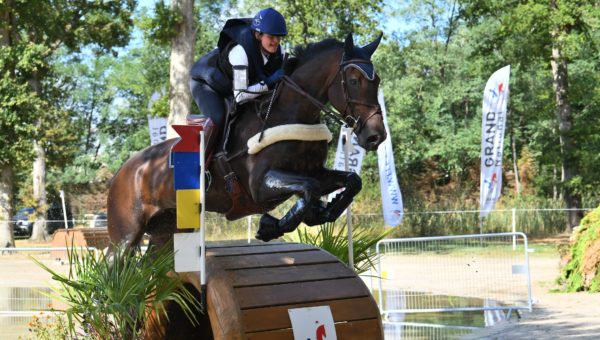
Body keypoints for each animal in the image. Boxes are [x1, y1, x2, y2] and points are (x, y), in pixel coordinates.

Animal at [106, 32, 384, 250]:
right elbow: (308, 189)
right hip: (125, 236)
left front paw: (324, 211)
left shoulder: (313, 171)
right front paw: (270, 226)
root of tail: (122, 171)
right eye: (353, 81)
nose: (375, 136)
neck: (290, 112)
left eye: (377, 81)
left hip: (166, 230)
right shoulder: (259, 185)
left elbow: (351, 181)